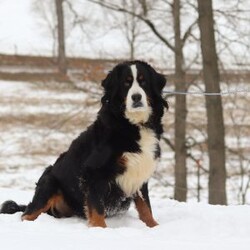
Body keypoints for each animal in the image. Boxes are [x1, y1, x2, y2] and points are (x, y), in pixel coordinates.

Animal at [0, 61, 168, 229]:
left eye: (143, 82)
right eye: (126, 83)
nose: (136, 97)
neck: (133, 124)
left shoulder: (140, 171)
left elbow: (145, 206)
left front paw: (154, 227)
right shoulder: (93, 172)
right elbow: (97, 208)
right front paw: (100, 229)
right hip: (49, 182)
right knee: (27, 214)